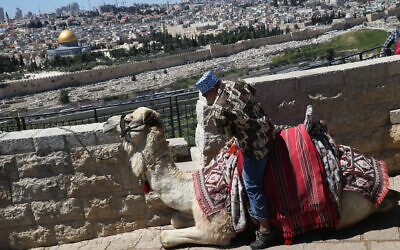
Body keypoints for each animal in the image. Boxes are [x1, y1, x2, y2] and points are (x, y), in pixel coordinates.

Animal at [104, 106, 400, 248]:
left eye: (129, 119)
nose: (107, 123)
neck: (192, 186)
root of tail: (379, 177)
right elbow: (175, 219)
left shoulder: (217, 228)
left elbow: (166, 236)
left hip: (348, 206)